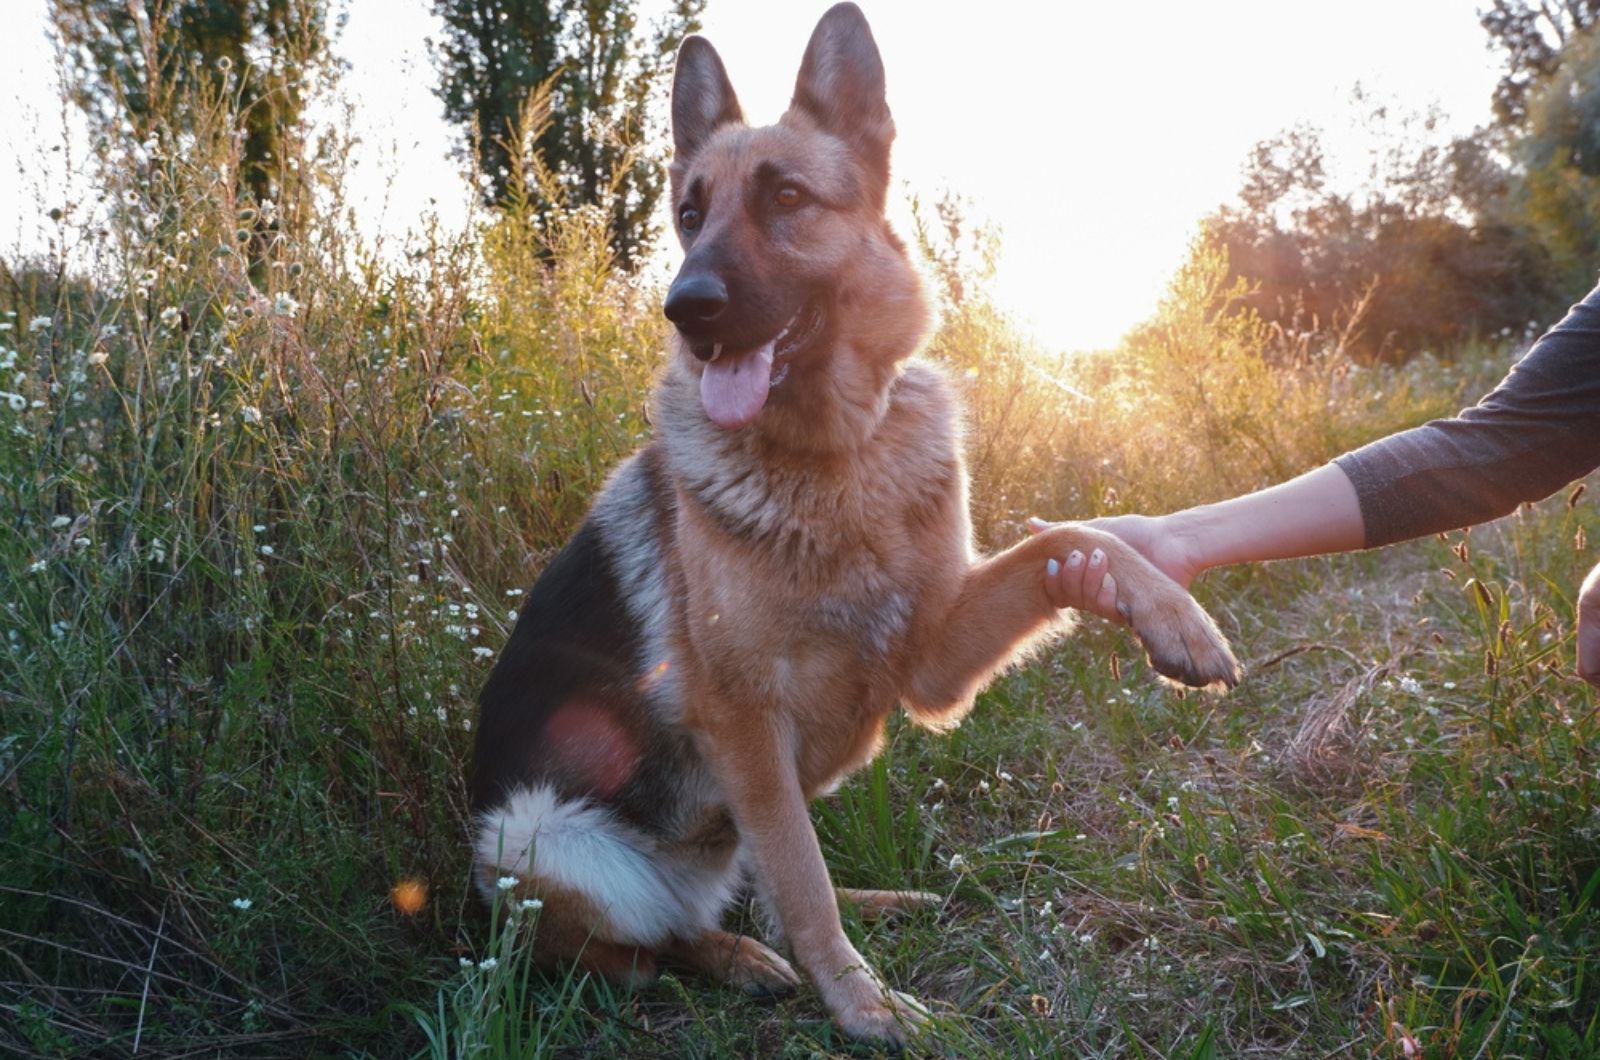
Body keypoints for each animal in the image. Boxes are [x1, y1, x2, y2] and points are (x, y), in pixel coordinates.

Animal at [467, 2, 1241, 1043]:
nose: (685, 309)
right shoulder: (746, 724)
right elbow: (803, 881)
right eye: (690, 217)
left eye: (787, 196)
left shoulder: (926, 658)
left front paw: (1175, 618)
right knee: (655, 946)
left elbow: (1073, 536)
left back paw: (865, 908)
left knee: (740, 892)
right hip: (537, 835)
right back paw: (741, 957)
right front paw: (864, 1006)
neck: (833, 462)